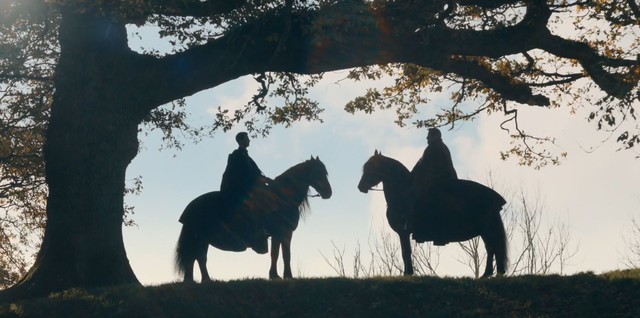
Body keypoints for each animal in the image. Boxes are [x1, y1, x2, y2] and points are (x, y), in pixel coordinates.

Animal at [178, 155, 332, 282]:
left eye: (325, 172)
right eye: (318, 172)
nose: (328, 193)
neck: (281, 198)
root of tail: (191, 206)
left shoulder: (282, 233)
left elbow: (280, 254)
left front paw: (280, 275)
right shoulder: (282, 233)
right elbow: (280, 254)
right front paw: (281, 275)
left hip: (200, 238)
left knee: (195, 258)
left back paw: (196, 280)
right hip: (201, 238)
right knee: (198, 257)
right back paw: (204, 280)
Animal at [358, 150, 508, 278]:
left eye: (370, 168)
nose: (360, 187)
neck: (402, 193)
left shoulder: (403, 232)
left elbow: (406, 252)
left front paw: (408, 274)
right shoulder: (403, 233)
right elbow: (405, 252)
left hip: (487, 229)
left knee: (492, 247)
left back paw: (490, 274)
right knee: (492, 248)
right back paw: (491, 273)